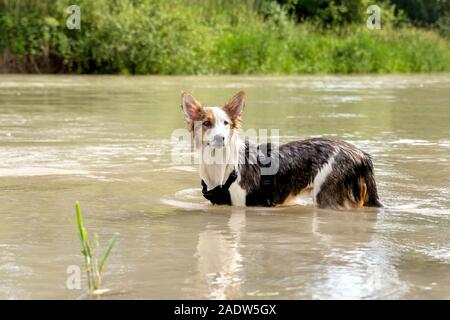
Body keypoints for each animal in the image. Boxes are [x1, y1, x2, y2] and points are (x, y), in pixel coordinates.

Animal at [181, 90, 382, 210]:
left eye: (226, 124)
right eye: (206, 123)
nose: (220, 138)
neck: (219, 163)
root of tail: (362, 155)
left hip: (327, 196)